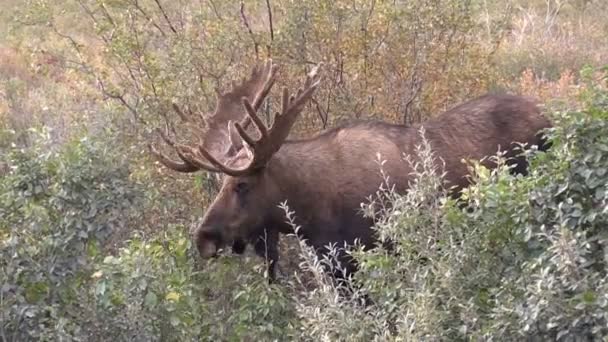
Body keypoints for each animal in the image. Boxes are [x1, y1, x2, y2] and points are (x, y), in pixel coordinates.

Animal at [148, 60, 552, 282]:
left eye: (242, 184)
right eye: (218, 183)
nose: (203, 238)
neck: (309, 212)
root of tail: (551, 115)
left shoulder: (367, 258)